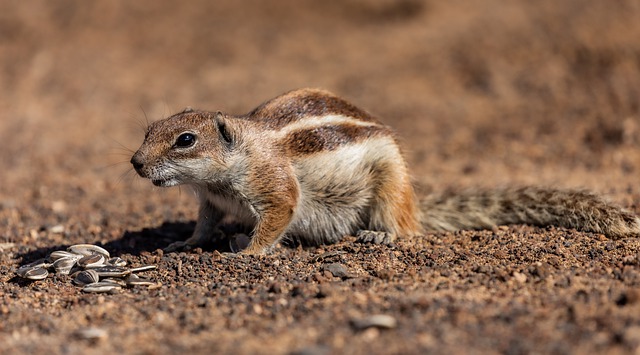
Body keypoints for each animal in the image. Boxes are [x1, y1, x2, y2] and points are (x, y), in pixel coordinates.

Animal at [130, 89, 640, 256]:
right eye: (149, 129)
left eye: (185, 140)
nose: (136, 162)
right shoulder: (211, 201)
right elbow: (204, 225)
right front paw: (185, 243)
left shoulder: (274, 188)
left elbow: (279, 215)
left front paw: (248, 252)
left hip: (391, 183)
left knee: (407, 228)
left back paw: (382, 234)